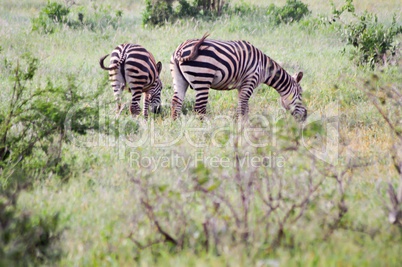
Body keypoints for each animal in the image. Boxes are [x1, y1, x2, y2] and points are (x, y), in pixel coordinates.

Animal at [170, 33, 308, 122]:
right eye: (301, 94)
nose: (306, 116)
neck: (263, 67)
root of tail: (180, 49)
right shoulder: (250, 80)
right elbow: (243, 105)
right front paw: (239, 126)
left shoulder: (241, 86)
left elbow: (245, 106)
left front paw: (244, 125)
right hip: (202, 79)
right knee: (199, 109)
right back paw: (203, 130)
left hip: (179, 79)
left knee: (176, 102)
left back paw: (175, 126)